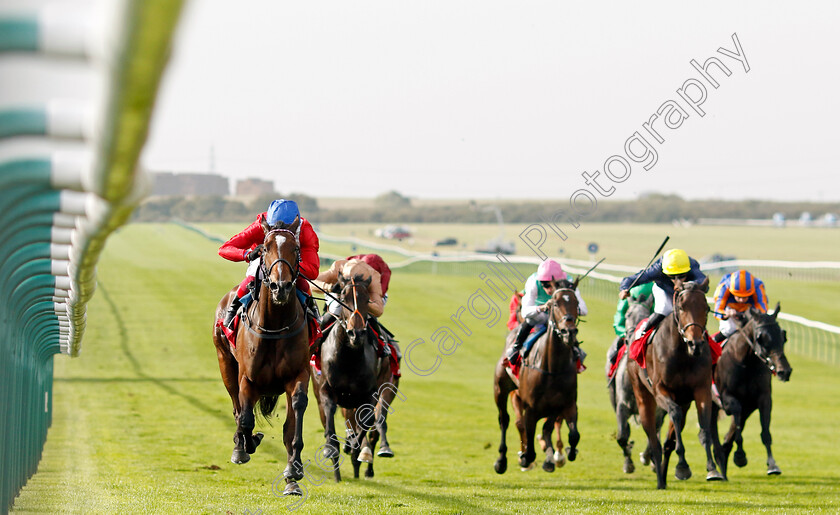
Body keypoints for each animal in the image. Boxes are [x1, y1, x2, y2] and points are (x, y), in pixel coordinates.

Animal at [213, 228, 312, 498]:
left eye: (296, 249)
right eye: (265, 248)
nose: (281, 286)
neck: (275, 325)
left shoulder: (298, 374)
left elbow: (294, 421)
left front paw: (294, 471)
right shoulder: (248, 378)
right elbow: (246, 418)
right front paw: (246, 444)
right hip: (226, 364)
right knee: (237, 409)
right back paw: (241, 445)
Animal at [312, 272, 398, 482]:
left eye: (367, 300)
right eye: (343, 298)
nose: (356, 333)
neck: (349, 357)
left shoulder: (369, 393)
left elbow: (367, 423)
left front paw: (357, 449)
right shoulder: (326, 389)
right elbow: (329, 421)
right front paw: (332, 449)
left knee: (373, 426)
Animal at [492, 278, 584, 476]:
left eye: (577, 303)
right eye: (555, 303)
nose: (569, 332)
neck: (552, 367)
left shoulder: (565, 403)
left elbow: (572, 434)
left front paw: (566, 453)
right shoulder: (530, 407)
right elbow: (527, 432)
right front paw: (526, 457)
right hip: (500, 389)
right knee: (504, 420)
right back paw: (502, 460)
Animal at [628, 278, 724, 492]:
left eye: (706, 307)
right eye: (681, 307)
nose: (696, 344)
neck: (682, 353)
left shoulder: (701, 391)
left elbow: (704, 426)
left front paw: (712, 468)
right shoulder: (660, 390)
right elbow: (674, 414)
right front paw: (682, 466)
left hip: (684, 400)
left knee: (668, 439)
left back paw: (663, 475)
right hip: (642, 394)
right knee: (653, 436)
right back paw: (659, 478)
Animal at [708, 304, 796, 478]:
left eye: (783, 336)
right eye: (762, 338)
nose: (784, 371)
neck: (745, 363)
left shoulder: (762, 399)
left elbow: (765, 432)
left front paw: (772, 465)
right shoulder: (726, 398)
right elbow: (736, 421)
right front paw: (740, 456)